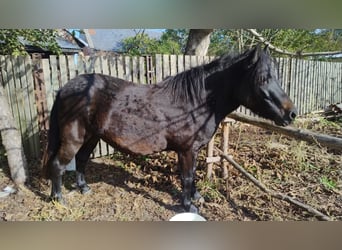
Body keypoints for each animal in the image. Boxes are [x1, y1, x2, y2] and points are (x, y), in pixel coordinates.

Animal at [42, 45, 296, 213]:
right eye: (262, 79)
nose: (291, 113)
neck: (196, 101)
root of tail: (65, 88)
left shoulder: (192, 151)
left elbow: (192, 175)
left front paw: (197, 197)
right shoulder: (186, 150)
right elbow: (187, 177)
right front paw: (189, 206)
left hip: (92, 137)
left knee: (82, 160)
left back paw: (83, 188)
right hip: (74, 138)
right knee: (58, 165)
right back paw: (58, 199)